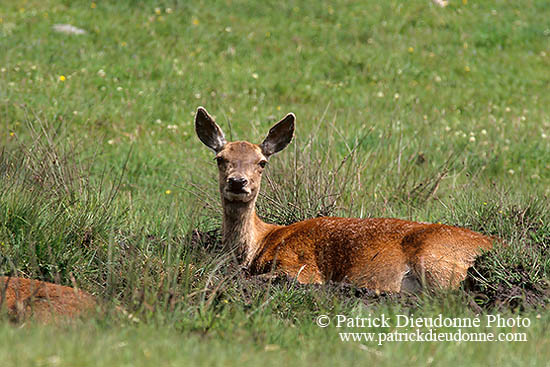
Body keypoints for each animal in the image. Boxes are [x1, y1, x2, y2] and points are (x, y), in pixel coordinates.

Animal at [197, 106, 496, 294]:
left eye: (262, 162)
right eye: (220, 158)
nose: (238, 181)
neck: (261, 242)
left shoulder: (300, 266)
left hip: (436, 260)